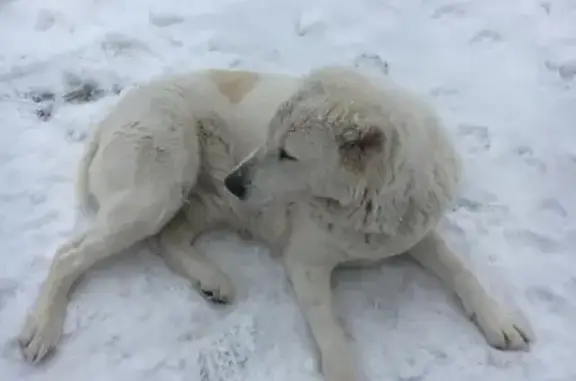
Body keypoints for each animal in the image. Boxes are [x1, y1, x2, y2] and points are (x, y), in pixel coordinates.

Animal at [19, 66, 536, 380]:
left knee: (168, 239)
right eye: (268, 138)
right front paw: (344, 368)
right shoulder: (305, 262)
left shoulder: (413, 229)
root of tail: (113, 113)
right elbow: (330, 325)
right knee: (68, 255)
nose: (233, 180)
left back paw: (212, 280)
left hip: (204, 204)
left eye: (287, 153)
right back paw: (41, 330)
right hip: (154, 193)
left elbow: (461, 270)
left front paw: (500, 320)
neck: (360, 204)